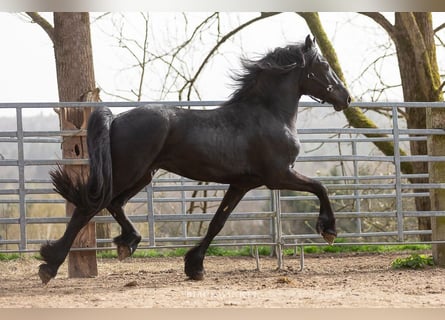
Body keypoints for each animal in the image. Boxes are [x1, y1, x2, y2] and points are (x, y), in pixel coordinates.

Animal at [38, 35, 350, 284]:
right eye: (324, 66)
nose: (345, 98)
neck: (267, 115)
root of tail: (115, 120)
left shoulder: (242, 184)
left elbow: (217, 222)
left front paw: (195, 266)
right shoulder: (279, 176)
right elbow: (320, 187)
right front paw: (329, 230)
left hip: (142, 174)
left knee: (113, 204)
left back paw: (128, 243)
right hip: (129, 171)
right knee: (88, 208)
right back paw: (49, 265)